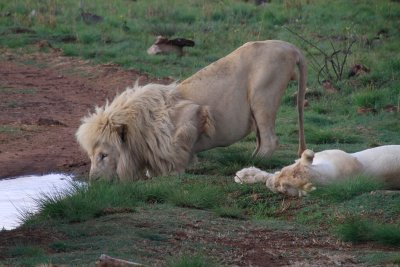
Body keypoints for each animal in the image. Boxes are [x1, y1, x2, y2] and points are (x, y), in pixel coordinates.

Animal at [76, 39, 308, 182]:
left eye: (103, 155)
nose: (93, 181)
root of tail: (290, 46)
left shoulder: (193, 114)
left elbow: (178, 152)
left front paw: (173, 172)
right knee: (262, 139)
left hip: (263, 98)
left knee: (269, 141)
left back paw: (251, 165)